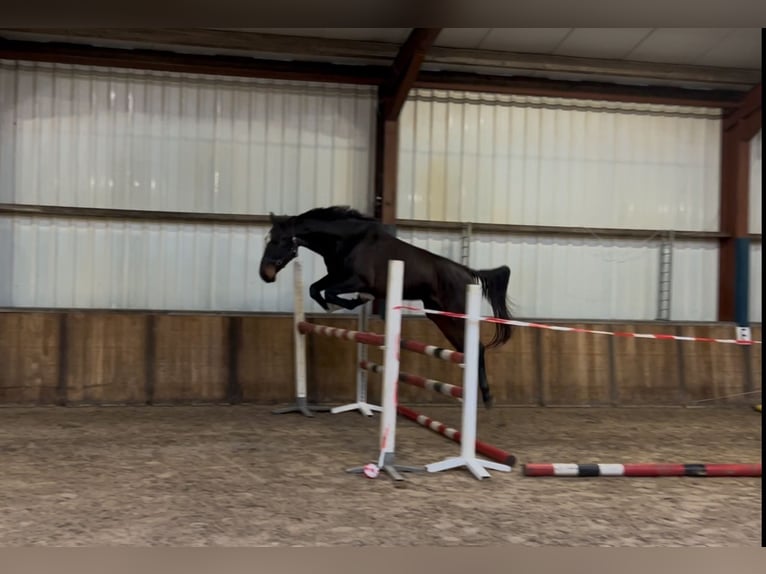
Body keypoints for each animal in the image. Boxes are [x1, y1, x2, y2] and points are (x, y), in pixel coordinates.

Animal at [260, 207, 516, 410]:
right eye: (269, 239)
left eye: (278, 241)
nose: (265, 275)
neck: (348, 240)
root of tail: (467, 273)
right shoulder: (336, 276)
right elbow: (315, 289)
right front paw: (333, 305)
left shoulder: (355, 280)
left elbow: (331, 292)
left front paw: (352, 301)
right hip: (440, 318)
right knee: (468, 349)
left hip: (456, 315)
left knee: (477, 348)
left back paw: (486, 396)